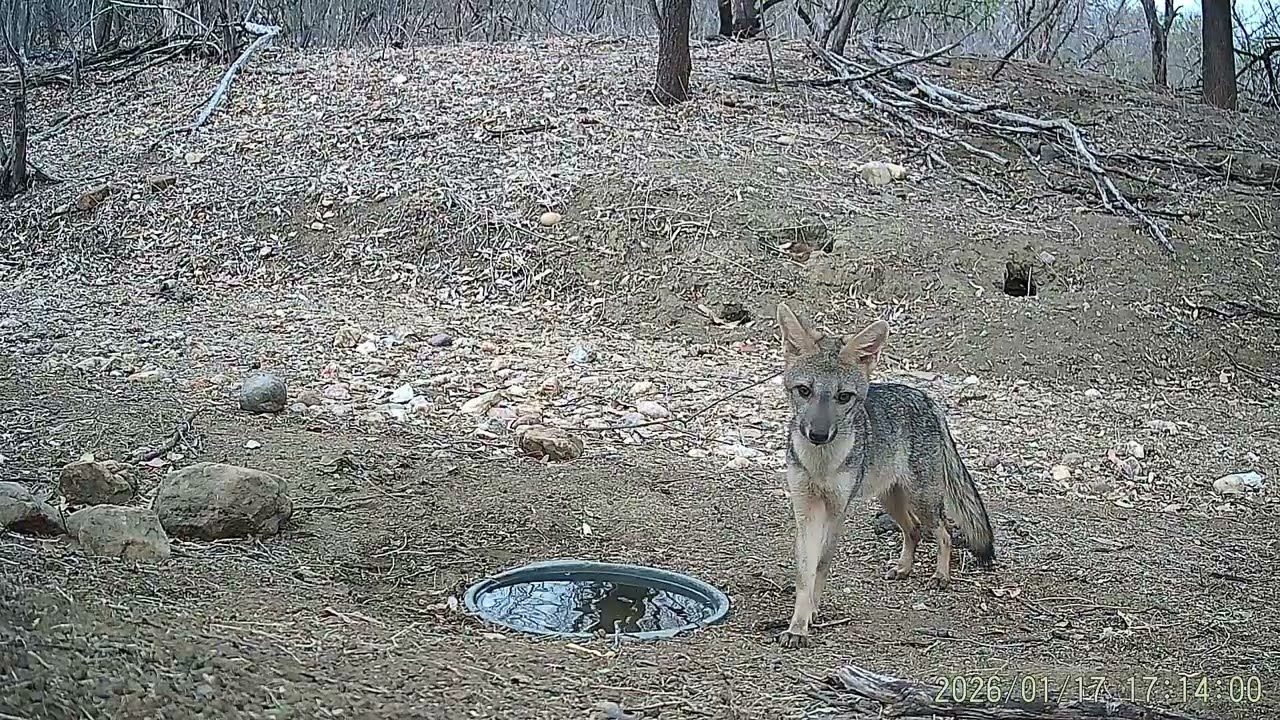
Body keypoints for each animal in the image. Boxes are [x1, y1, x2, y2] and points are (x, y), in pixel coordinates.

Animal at [773, 302, 996, 649]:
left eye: (843, 397)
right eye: (804, 391)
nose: (819, 434)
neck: (821, 463)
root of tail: (926, 399)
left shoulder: (837, 510)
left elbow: (823, 563)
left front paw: (812, 614)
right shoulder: (805, 508)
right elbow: (804, 572)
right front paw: (798, 624)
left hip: (922, 500)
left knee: (943, 531)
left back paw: (941, 576)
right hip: (890, 499)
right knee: (914, 531)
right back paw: (904, 568)